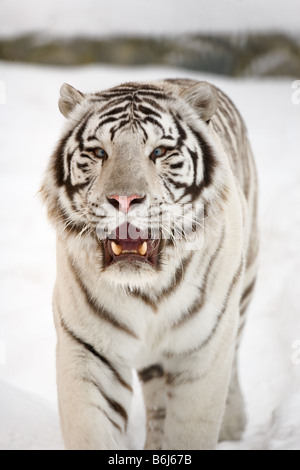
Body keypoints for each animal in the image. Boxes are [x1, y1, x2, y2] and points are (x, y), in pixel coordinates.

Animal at [41, 79, 258, 450]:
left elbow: (191, 430)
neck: (149, 291)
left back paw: (233, 425)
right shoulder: (89, 349)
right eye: (99, 153)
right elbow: (92, 430)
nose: (125, 199)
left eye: (158, 153)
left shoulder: (203, 351)